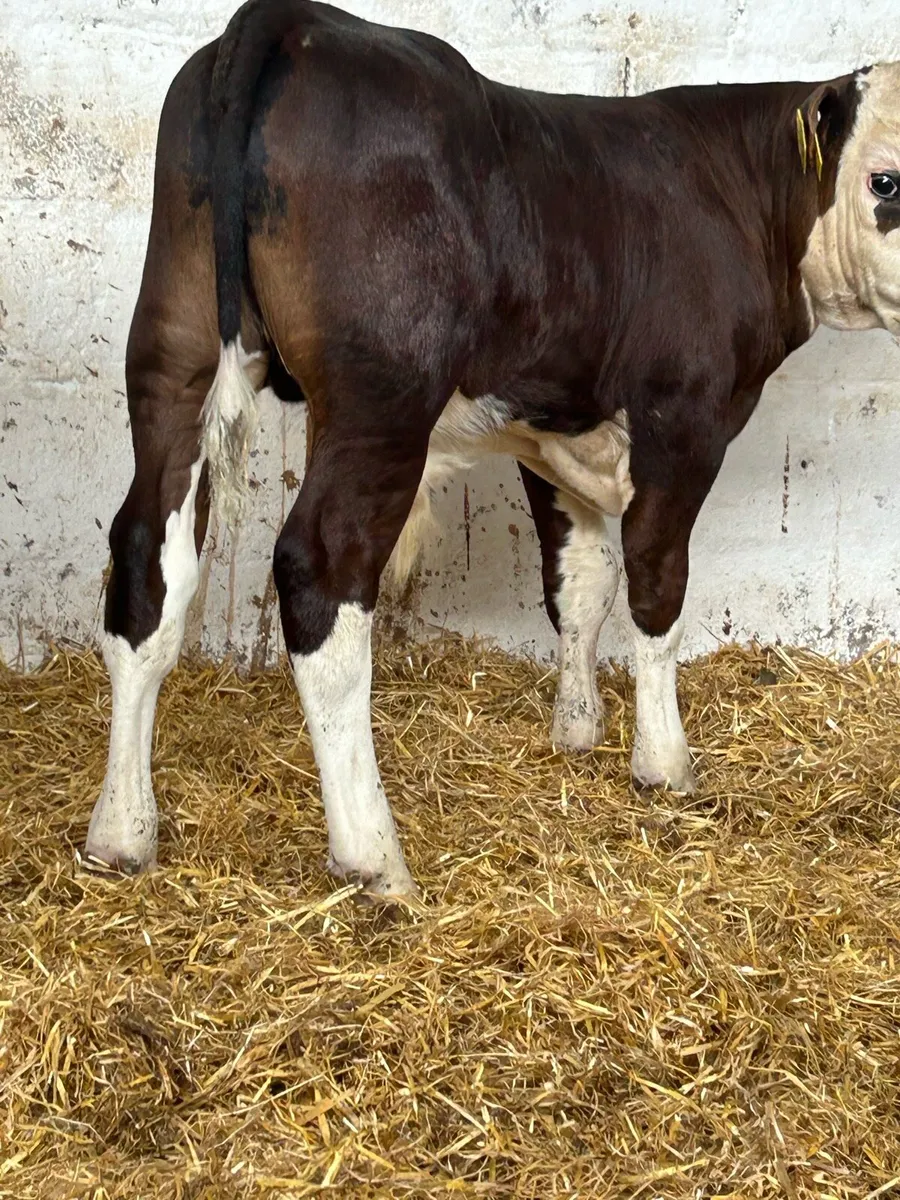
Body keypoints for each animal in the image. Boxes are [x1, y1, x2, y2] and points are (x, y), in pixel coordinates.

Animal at [83, 0, 900, 897]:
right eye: (885, 180)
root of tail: (295, 21)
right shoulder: (684, 421)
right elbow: (657, 589)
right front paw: (663, 764)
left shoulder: (555, 430)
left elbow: (580, 583)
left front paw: (577, 729)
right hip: (382, 397)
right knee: (321, 574)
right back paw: (372, 856)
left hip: (175, 349)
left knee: (147, 557)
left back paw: (121, 832)